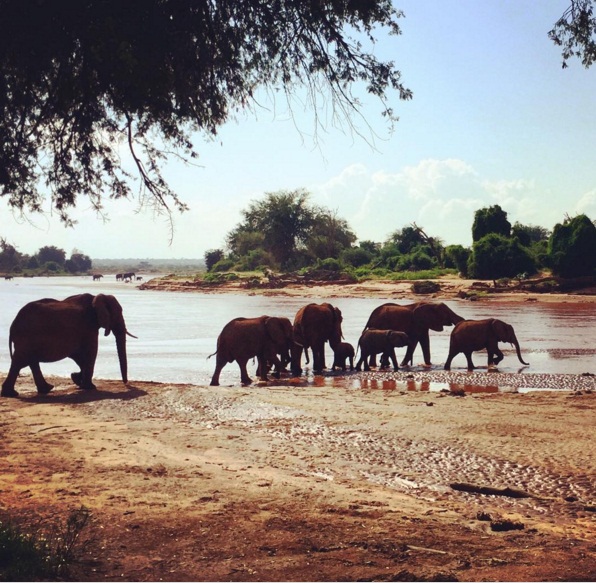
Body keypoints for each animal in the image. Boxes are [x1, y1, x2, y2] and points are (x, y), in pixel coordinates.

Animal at [1, 294, 134, 400]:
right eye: (117, 314)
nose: (126, 384)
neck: (96, 297)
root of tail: (13, 325)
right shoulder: (89, 327)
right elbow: (90, 353)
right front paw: (89, 387)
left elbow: (79, 356)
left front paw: (76, 379)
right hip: (26, 338)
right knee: (20, 362)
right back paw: (12, 394)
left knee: (30, 362)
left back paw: (46, 389)